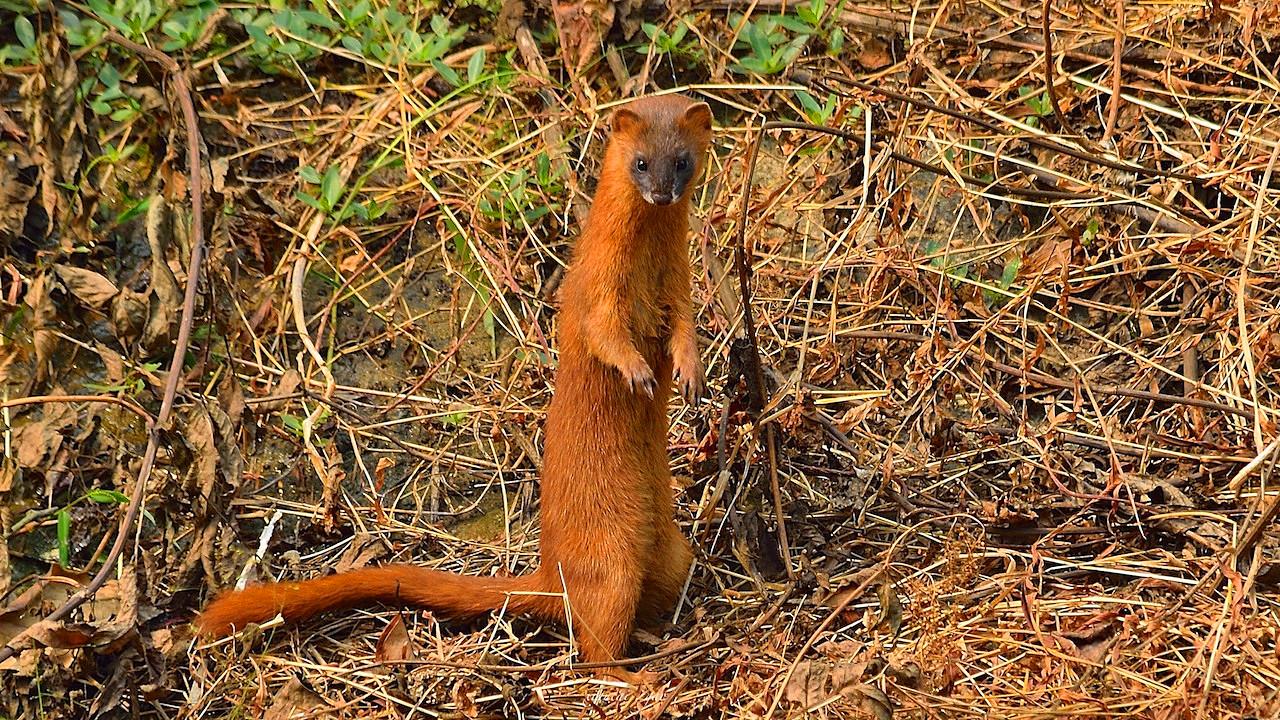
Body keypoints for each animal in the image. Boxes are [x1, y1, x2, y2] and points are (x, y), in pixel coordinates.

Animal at [199, 94, 721, 666]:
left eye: (682, 161)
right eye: (641, 162)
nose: (663, 192)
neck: (647, 265)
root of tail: (549, 576)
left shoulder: (680, 283)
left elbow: (687, 328)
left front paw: (691, 374)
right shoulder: (594, 287)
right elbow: (603, 332)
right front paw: (638, 372)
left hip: (673, 553)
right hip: (612, 562)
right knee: (595, 648)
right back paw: (638, 672)